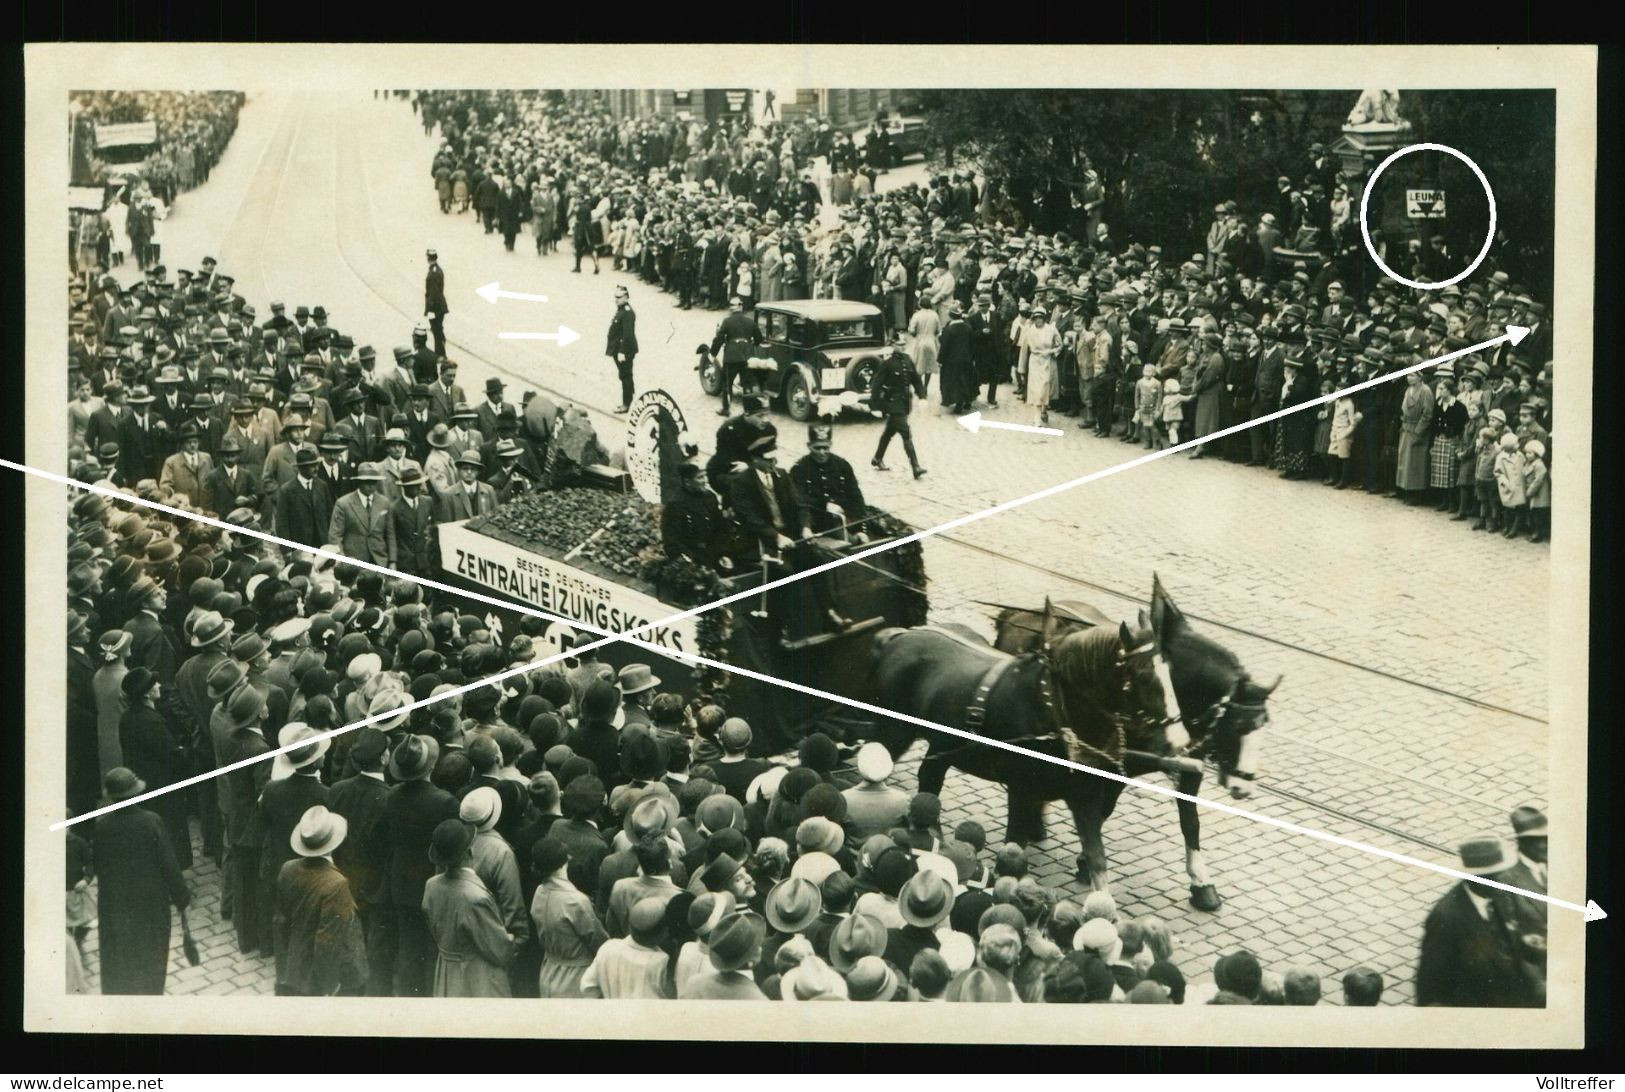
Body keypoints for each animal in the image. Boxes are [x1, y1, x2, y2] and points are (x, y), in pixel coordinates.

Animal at [871, 575, 1274, 910]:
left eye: (1263, 724)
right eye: (1237, 725)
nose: (1243, 787)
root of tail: (901, 635)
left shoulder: (1125, 777)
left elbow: (1179, 825)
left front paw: (1201, 885)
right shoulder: (1032, 786)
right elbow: (1021, 841)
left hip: (941, 745)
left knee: (929, 777)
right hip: (893, 733)